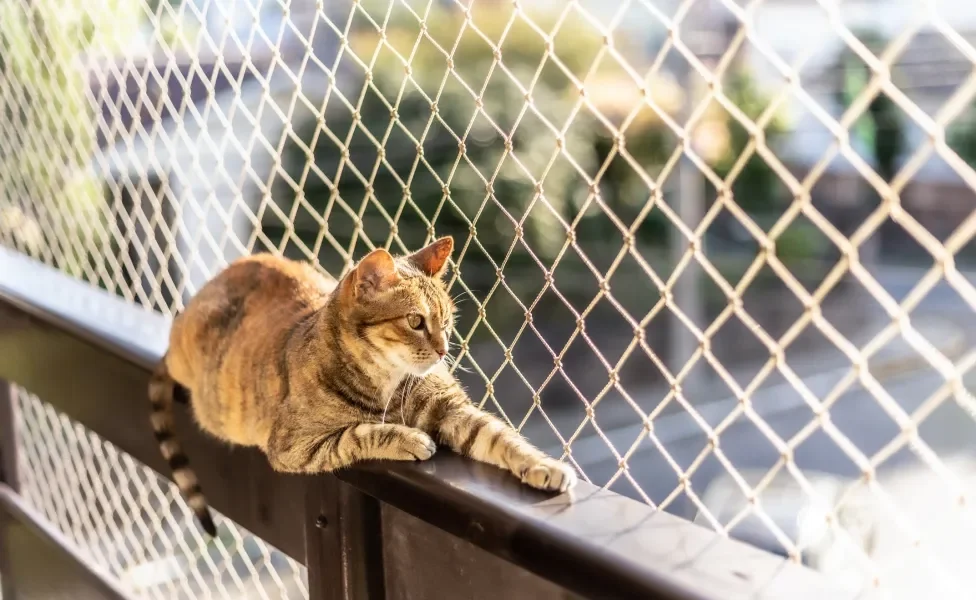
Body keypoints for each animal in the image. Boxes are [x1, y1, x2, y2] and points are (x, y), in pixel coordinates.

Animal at [150, 236, 576, 536]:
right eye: (416, 321)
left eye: (447, 321)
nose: (443, 350)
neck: (388, 379)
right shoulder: (292, 446)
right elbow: (357, 434)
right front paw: (408, 438)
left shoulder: (451, 408)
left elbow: (500, 437)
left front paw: (543, 465)